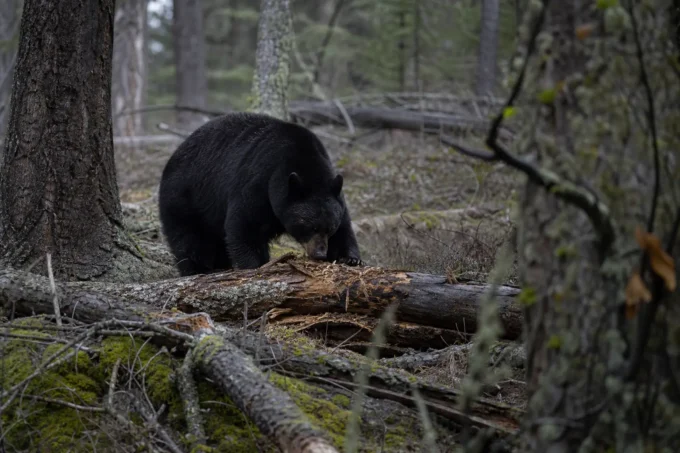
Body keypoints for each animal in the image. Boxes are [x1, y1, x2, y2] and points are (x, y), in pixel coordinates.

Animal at [158, 111, 363, 277]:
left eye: (329, 228)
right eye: (310, 227)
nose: (320, 253)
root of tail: (173, 156)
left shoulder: (333, 192)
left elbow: (345, 227)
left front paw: (351, 258)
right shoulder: (259, 182)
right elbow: (245, 225)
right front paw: (255, 266)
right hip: (185, 198)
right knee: (190, 239)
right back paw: (198, 269)